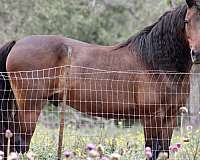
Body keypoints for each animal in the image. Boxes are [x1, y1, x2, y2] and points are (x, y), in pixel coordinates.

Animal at [0, 0, 194, 159]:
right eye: (187, 21)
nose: (196, 53)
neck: (154, 62)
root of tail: (17, 43)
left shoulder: (171, 117)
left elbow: (163, 151)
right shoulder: (151, 118)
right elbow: (153, 151)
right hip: (30, 108)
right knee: (20, 143)